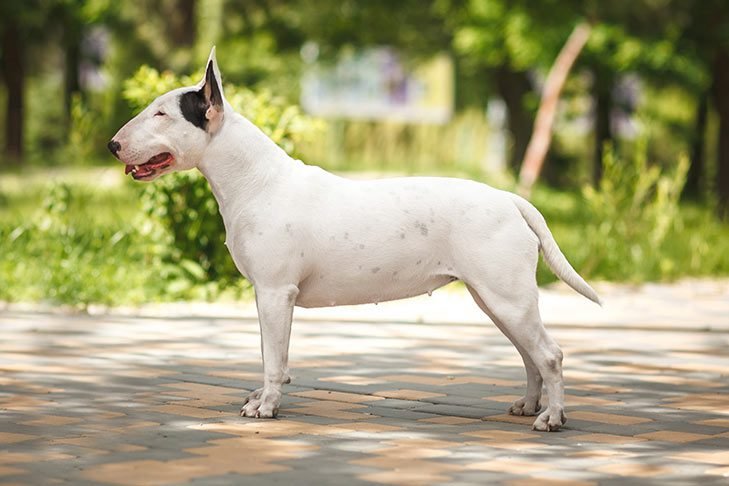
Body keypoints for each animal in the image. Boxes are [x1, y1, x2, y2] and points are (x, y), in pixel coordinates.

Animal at [108, 47, 596, 430]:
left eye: (161, 113)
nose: (112, 145)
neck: (256, 181)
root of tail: (510, 198)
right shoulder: (265, 295)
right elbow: (269, 353)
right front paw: (259, 397)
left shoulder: (275, 293)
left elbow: (274, 360)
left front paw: (265, 407)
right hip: (495, 300)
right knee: (530, 356)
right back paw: (529, 406)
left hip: (507, 297)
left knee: (549, 355)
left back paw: (552, 418)